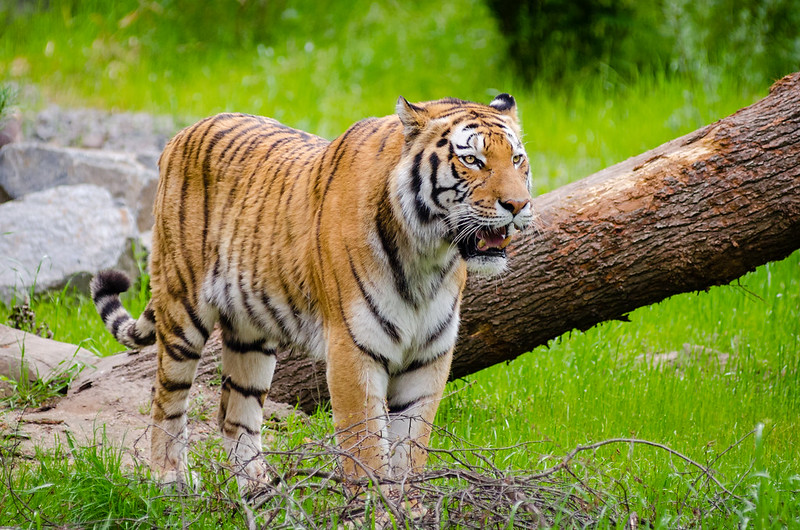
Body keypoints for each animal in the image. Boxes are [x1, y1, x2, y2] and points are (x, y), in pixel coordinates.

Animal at [90, 94, 533, 496]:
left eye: (516, 160)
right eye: (472, 161)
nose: (518, 205)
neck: (429, 257)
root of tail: (183, 132)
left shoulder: (429, 356)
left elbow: (411, 448)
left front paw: (409, 508)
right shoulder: (354, 350)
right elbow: (366, 447)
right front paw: (373, 508)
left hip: (251, 336)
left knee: (235, 412)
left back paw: (256, 488)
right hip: (183, 310)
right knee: (166, 398)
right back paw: (170, 478)